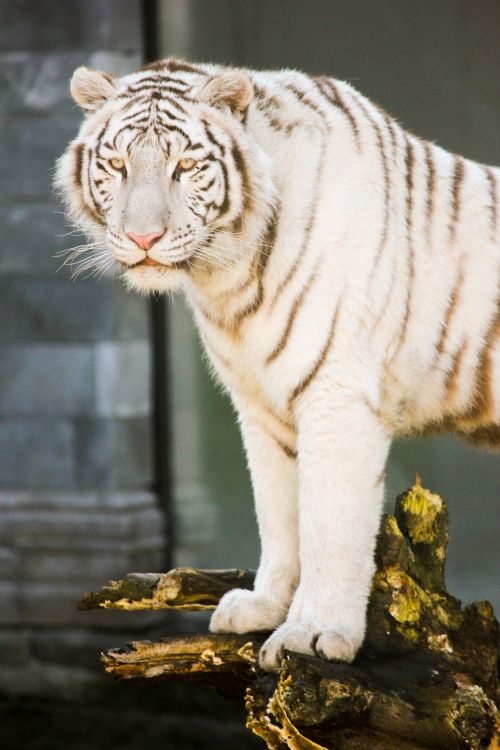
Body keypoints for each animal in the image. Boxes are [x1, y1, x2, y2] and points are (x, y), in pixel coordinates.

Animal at [55, 57, 500, 668]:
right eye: (117, 164)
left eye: (185, 165)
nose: (144, 238)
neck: (230, 281)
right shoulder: (261, 406)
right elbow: (278, 514)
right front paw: (264, 607)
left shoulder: (337, 398)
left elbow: (328, 526)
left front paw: (314, 633)